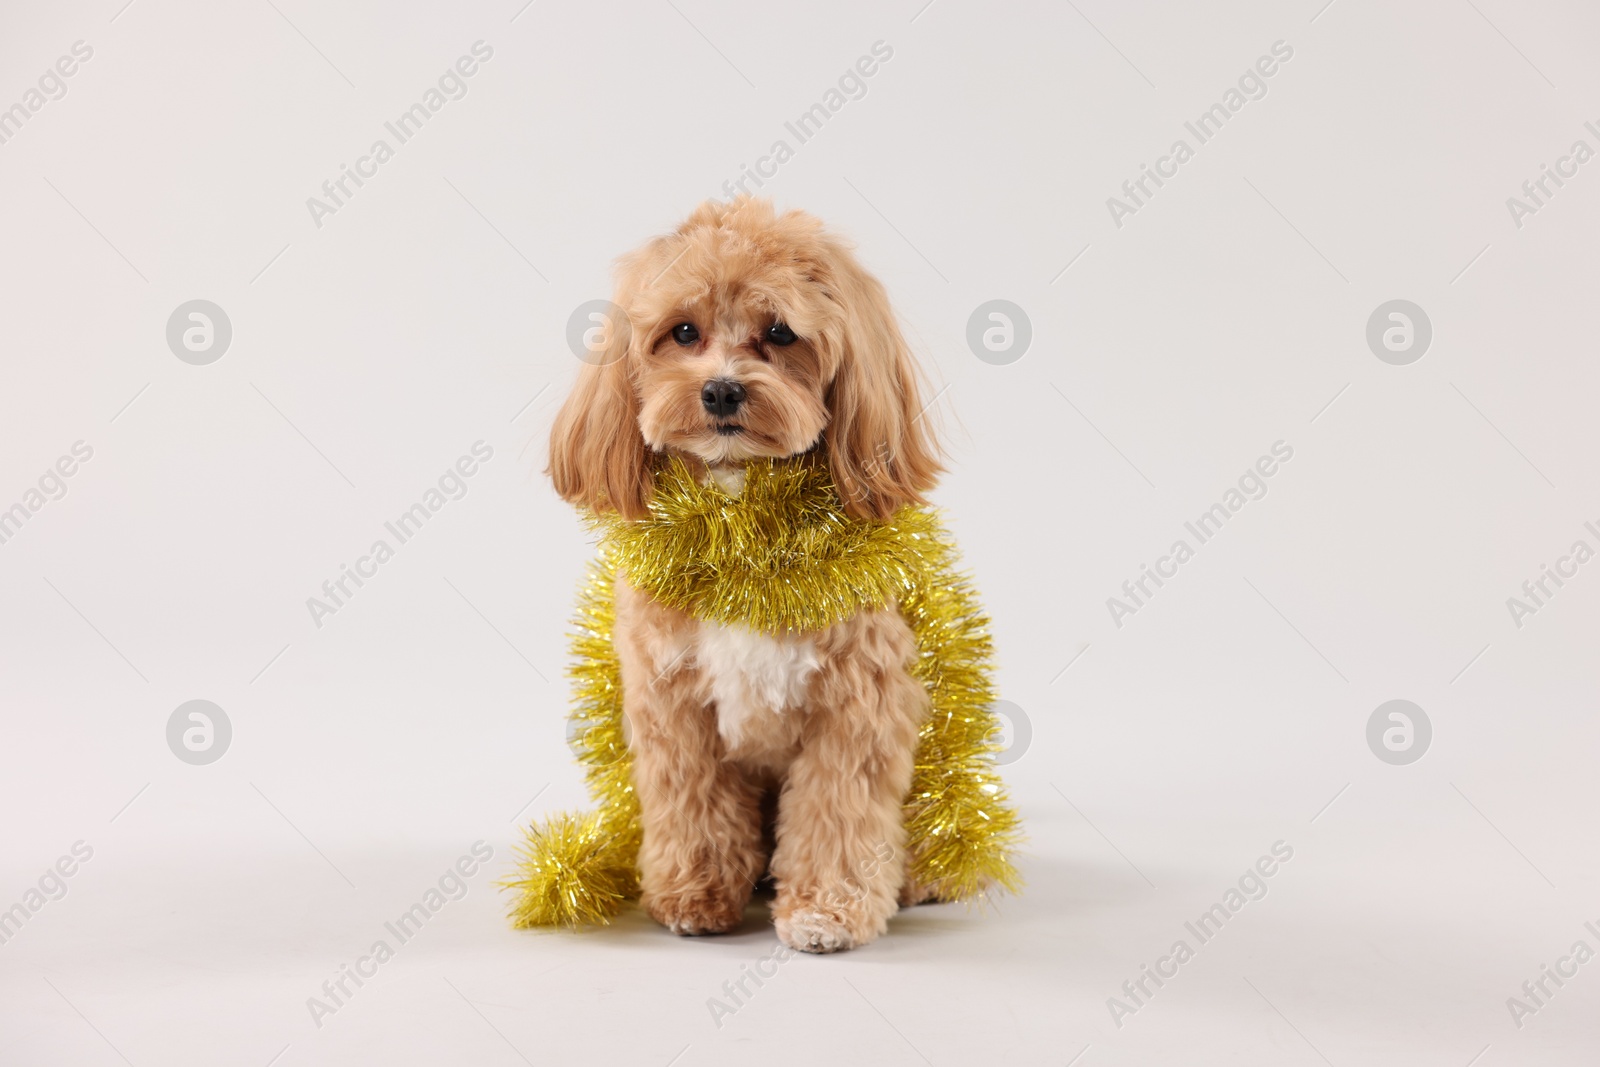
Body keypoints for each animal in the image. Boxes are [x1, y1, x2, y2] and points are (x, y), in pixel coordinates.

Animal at [550, 198, 947, 953]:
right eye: (683, 331)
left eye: (781, 332)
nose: (722, 389)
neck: (744, 529)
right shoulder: (674, 705)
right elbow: (694, 806)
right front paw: (692, 895)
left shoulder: (856, 705)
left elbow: (837, 814)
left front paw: (827, 911)